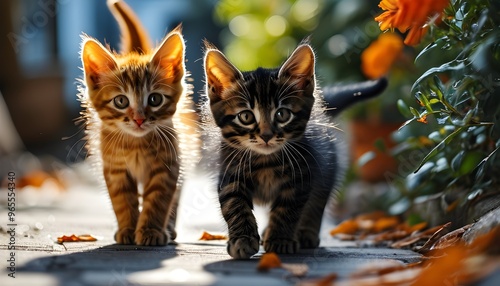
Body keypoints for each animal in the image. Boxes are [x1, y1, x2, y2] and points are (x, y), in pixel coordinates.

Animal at [78, 0, 197, 246]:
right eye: (121, 101)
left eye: (155, 99)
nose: (139, 119)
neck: (136, 144)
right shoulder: (115, 169)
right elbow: (123, 201)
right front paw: (127, 229)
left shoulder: (168, 165)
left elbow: (159, 200)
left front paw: (151, 230)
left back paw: (169, 228)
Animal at [203, 42, 340, 260]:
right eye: (246, 117)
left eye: (282, 114)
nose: (266, 135)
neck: (264, 162)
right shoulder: (229, 173)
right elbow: (234, 205)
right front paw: (242, 239)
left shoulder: (302, 176)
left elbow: (287, 209)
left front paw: (280, 239)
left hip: (327, 167)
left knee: (317, 203)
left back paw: (306, 233)